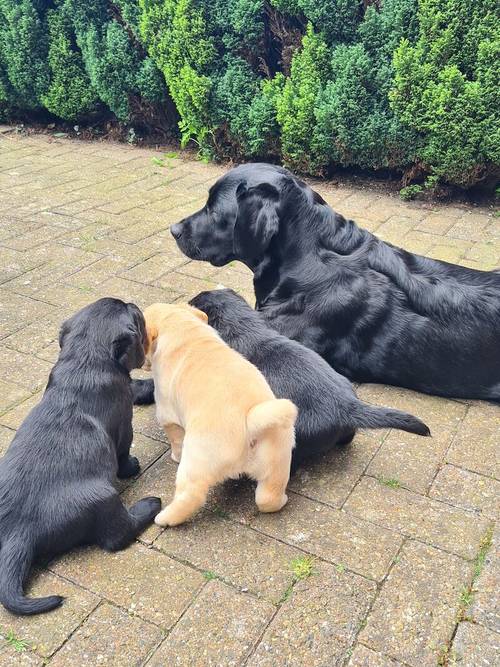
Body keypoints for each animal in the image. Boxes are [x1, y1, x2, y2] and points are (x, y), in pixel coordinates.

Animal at [0, 300, 160, 620]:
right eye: (135, 317)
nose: (134, 304)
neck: (84, 363)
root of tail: (17, 531)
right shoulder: (124, 423)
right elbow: (124, 452)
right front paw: (132, 467)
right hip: (104, 497)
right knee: (118, 535)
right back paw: (149, 505)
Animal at [142, 302, 296, 528]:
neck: (185, 330)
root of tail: (250, 423)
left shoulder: (167, 415)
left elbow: (175, 440)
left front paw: (174, 456)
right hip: (277, 460)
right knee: (268, 498)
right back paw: (281, 499)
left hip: (196, 462)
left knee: (190, 496)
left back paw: (165, 518)